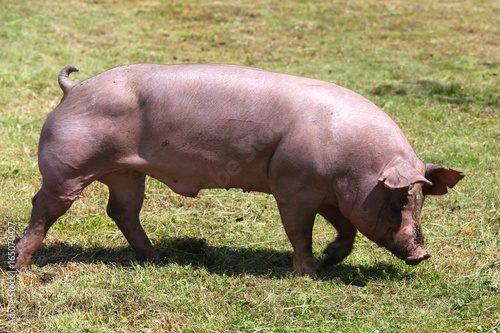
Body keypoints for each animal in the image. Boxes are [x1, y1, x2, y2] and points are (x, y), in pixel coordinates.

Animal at [12, 63, 464, 274]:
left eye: (421, 200)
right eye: (401, 199)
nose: (422, 253)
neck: (351, 168)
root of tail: (73, 88)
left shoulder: (332, 195)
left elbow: (346, 228)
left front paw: (331, 259)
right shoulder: (293, 187)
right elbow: (299, 232)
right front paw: (309, 273)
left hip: (126, 173)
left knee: (121, 210)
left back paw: (157, 259)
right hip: (67, 166)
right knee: (44, 206)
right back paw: (24, 266)